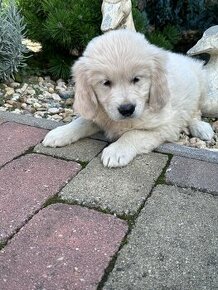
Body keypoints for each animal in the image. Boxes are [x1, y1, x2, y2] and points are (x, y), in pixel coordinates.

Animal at [43, 29, 215, 168]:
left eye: (136, 79)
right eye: (106, 83)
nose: (127, 109)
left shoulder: (165, 126)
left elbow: (133, 134)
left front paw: (116, 151)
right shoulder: (99, 114)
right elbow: (81, 122)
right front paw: (59, 133)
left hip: (203, 88)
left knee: (196, 112)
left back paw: (201, 128)